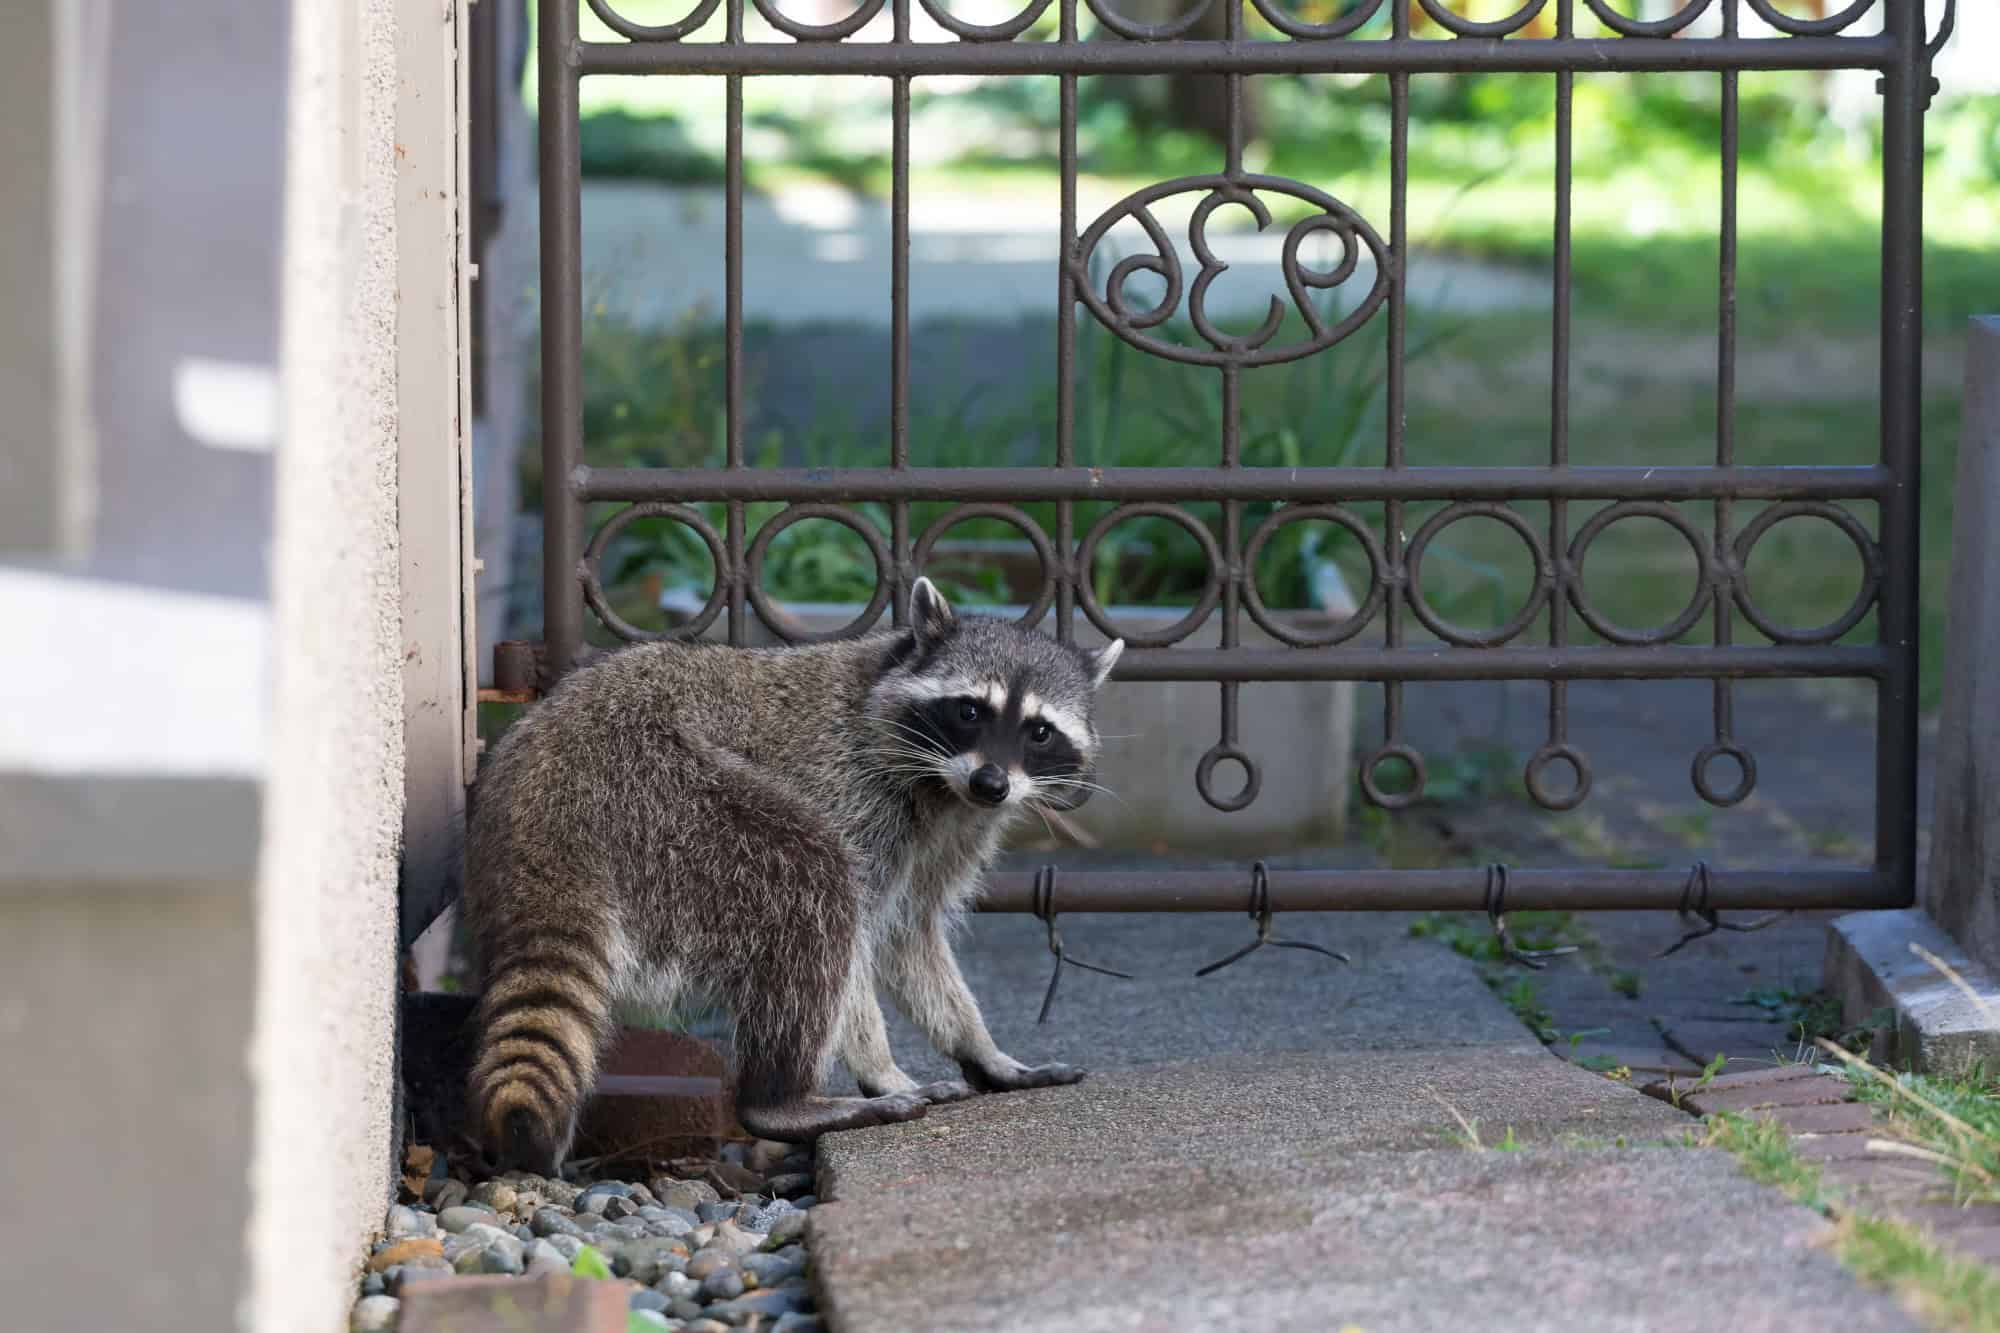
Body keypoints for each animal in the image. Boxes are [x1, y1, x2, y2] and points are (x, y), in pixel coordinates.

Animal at [462, 577, 1122, 1171]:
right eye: (969, 710)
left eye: (1040, 731)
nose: (992, 783)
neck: (941, 785)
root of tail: (545, 806)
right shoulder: (851, 790)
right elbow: (858, 943)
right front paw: (881, 1069)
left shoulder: (951, 834)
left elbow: (911, 938)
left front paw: (982, 1049)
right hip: (667, 797)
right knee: (811, 884)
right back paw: (782, 1100)